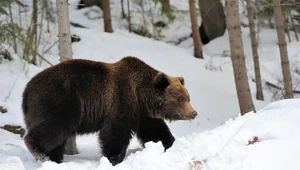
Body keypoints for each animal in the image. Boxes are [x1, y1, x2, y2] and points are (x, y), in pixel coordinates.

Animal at [22, 56, 198, 165]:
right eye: (181, 99)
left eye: (188, 98)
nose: (194, 113)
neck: (141, 95)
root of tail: (27, 90)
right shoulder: (121, 100)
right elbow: (115, 132)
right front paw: (114, 158)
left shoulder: (142, 114)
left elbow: (155, 131)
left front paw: (169, 144)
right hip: (59, 102)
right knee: (52, 129)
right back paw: (39, 151)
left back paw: (53, 158)